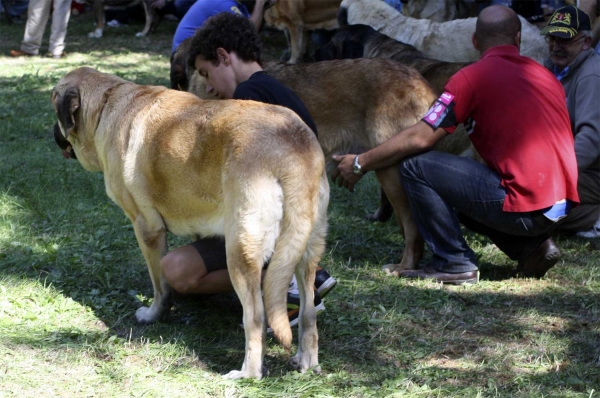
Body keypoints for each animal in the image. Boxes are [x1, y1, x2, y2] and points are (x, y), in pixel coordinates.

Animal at [52, 67, 328, 378]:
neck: (105, 103)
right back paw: (306, 361)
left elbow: (159, 283)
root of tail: (293, 145)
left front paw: (154, 314)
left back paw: (247, 373)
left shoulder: (147, 228)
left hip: (240, 253)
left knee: (256, 317)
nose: (53, 134)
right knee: (307, 312)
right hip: (304, 251)